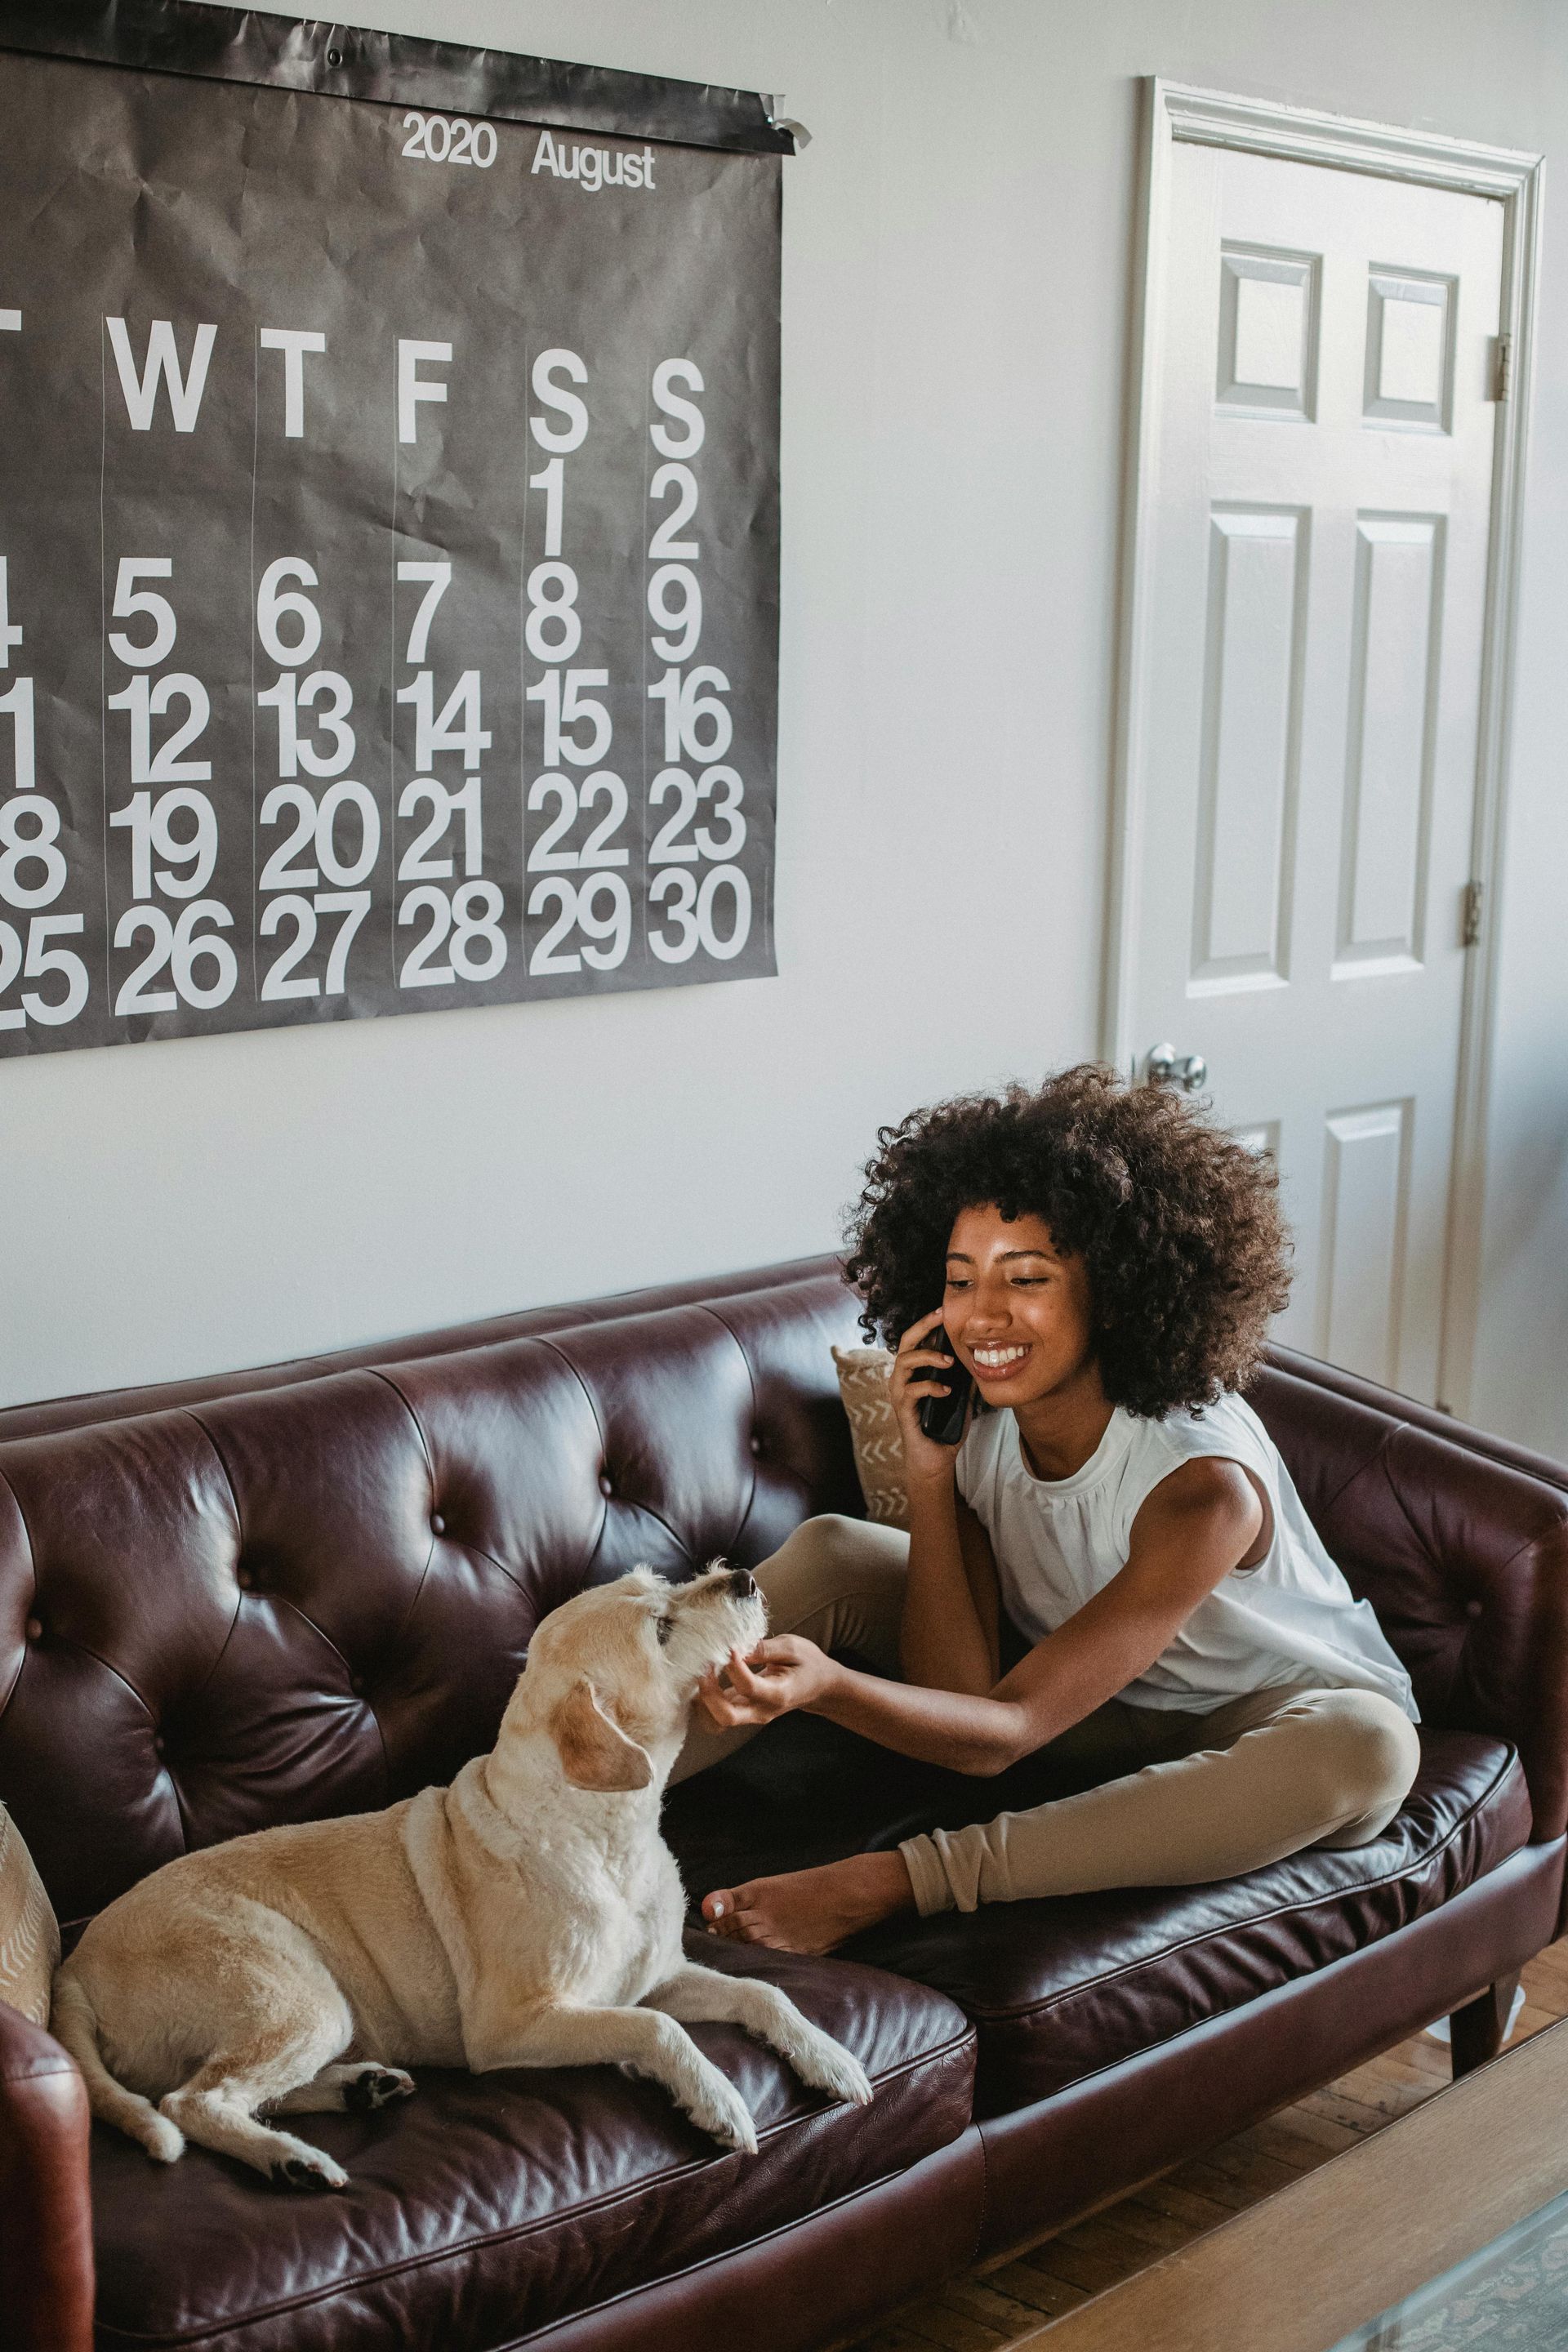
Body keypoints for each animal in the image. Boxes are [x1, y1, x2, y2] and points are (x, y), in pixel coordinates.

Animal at [51, 1561, 870, 2182]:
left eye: (664, 1583)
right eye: (660, 1629)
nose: (743, 1577)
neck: (607, 1833)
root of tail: (76, 1966)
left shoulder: (658, 1973)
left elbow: (763, 1992)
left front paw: (830, 2058)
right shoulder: (515, 2026)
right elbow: (655, 2028)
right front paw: (718, 2098)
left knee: (228, 2090)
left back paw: (359, 2089)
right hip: (296, 1991)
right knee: (190, 2103)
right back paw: (291, 2160)